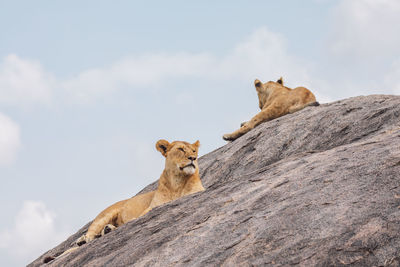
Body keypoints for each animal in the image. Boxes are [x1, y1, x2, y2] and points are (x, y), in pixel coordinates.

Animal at [44, 140, 203, 264]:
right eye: (181, 149)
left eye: (194, 150)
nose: (193, 158)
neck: (178, 182)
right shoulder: (150, 207)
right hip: (104, 215)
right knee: (90, 233)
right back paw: (85, 239)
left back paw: (107, 230)